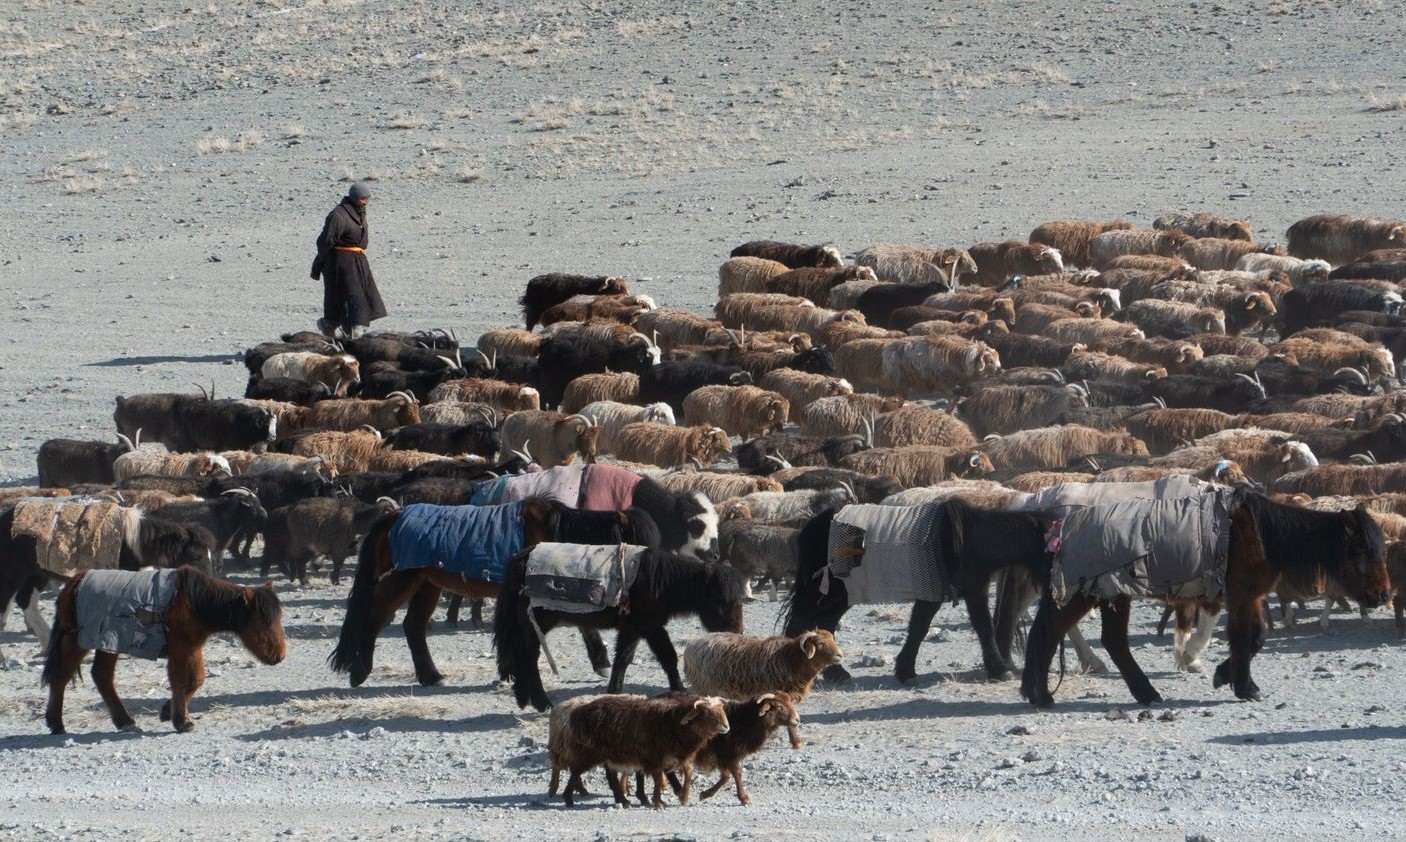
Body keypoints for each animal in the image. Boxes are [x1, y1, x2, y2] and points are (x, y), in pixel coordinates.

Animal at [42, 564, 285, 734]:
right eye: (263, 621)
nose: (280, 655)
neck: (192, 601)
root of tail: (75, 581)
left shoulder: (191, 647)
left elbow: (197, 679)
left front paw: (169, 712)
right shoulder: (180, 649)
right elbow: (179, 681)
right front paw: (181, 721)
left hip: (108, 643)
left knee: (101, 676)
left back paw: (125, 722)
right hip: (77, 641)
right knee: (61, 676)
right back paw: (56, 723)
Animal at [329, 496, 659, 688]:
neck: (555, 533)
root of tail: (393, 516)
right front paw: (510, 669)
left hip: (426, 585)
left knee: (413, 627)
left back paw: (430, 675)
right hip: (402, 581)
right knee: (373, 617)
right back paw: (360, 670)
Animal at [495, 548, 746, 711]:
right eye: (724, 601)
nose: (736, 634)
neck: (657, 581)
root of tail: (520, 561)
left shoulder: (632, 629)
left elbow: (622, 659)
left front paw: (613, 691)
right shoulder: (650, 627)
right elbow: (668, 656)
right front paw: (679, 690)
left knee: (520, 653)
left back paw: (523, 697)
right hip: (537, 623)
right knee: (528, 656)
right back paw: (541, 702)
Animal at [781, 500, 1055, 684]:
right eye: (1051, 549)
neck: (969, 540)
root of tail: (814, 524)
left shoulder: (940, 594)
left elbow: (920, 628)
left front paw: (905, 670)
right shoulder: (965, 591)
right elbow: (982, 627)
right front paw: (1001, 670)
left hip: (841, 594)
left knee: (825, 623)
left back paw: (837, 673)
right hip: (827, 591)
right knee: (800, 620)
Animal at [1021, 490, 1391, 707]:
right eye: (1363, 551)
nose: (1382, 595)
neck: (1260, 534)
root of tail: (1059, 529)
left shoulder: (1251, 597)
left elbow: (1257, 638)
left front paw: (1223, 675)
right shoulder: (1241, 595)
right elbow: (1242, 638)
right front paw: (1244, 687)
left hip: (1111, 594)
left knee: (1098, 640)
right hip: (1086, 594)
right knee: (1052, 633)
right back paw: (1043, 694)